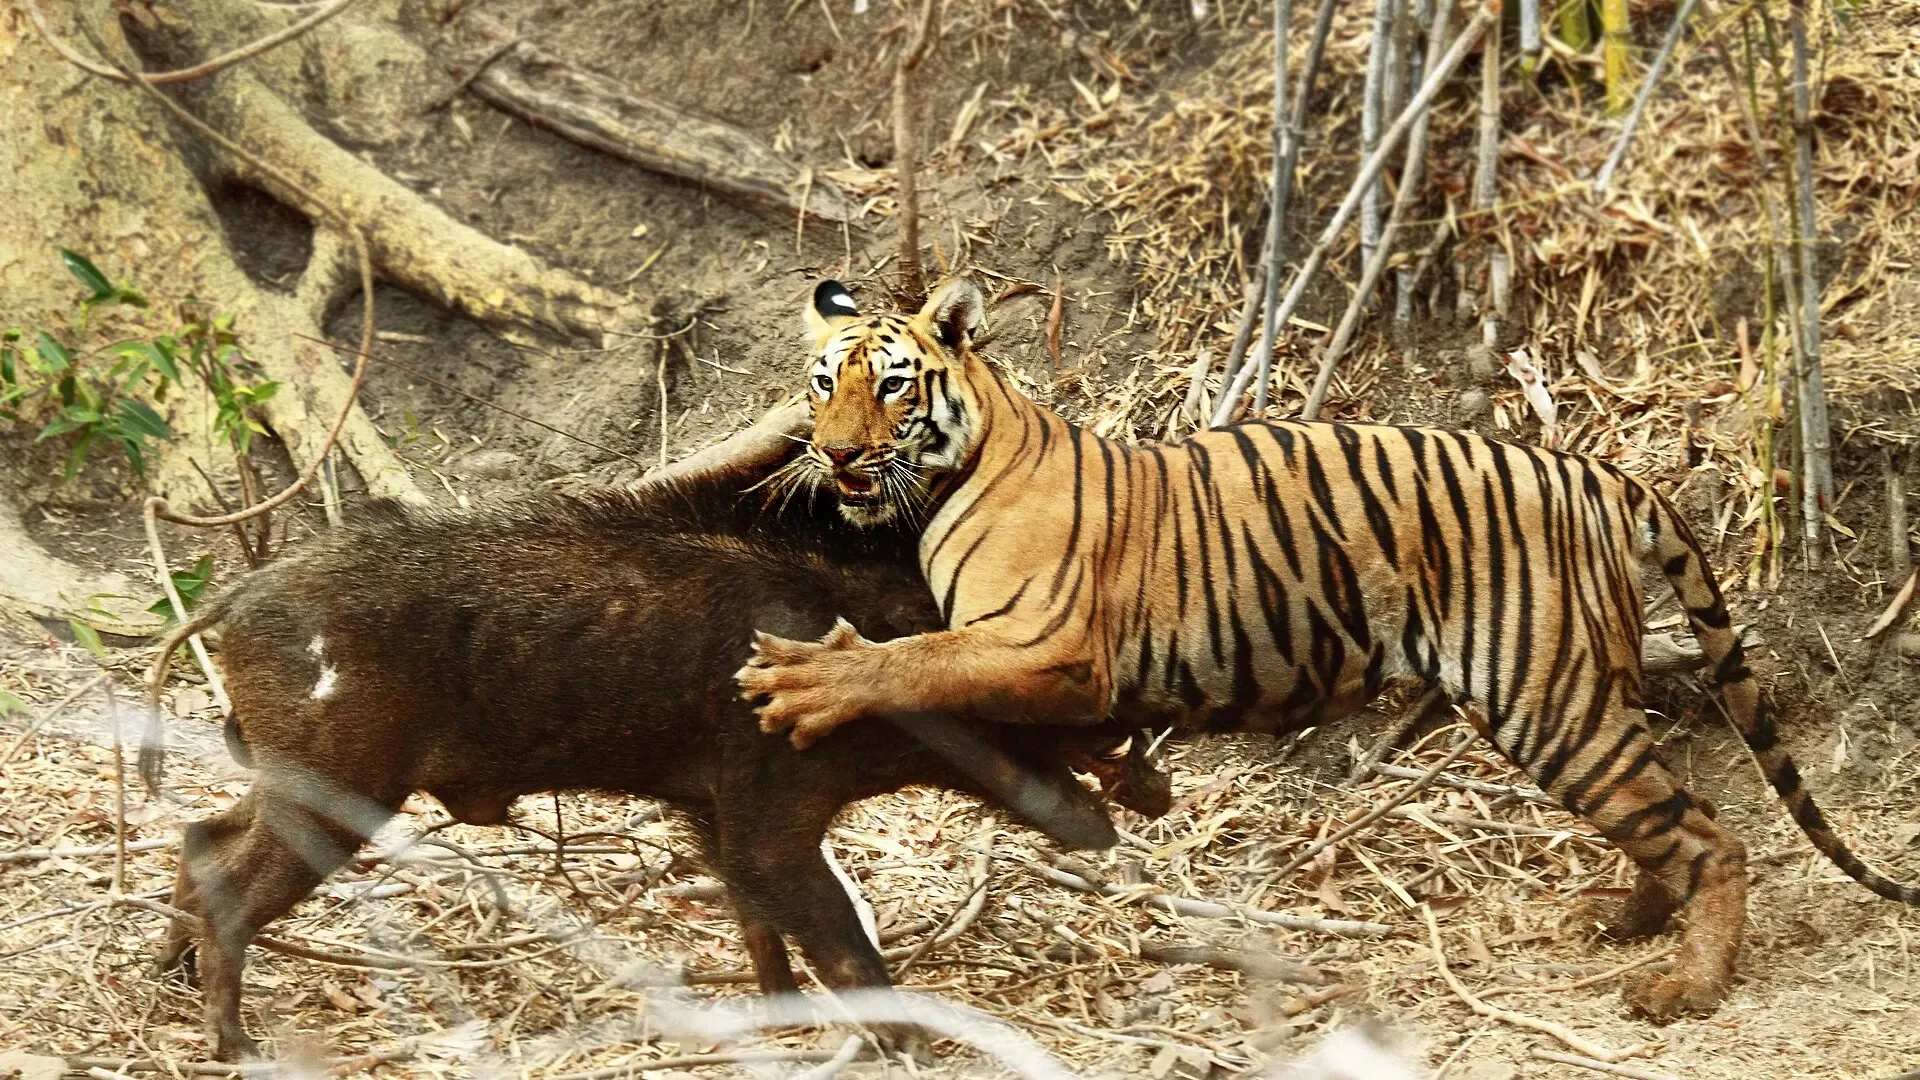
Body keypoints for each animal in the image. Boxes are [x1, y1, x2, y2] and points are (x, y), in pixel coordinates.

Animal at [734, 277, 1920, 1021]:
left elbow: (910, 657)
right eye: (823, 383)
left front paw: (803, 678)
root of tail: (1594, 468)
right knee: (1673, 812)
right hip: (1591, 693)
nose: (833, 456)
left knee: (1709, 835)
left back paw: (1687, 984)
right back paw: (1622, 920)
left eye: (891, 384)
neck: (953, 467)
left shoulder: (1045, 640)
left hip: (1547, 699)